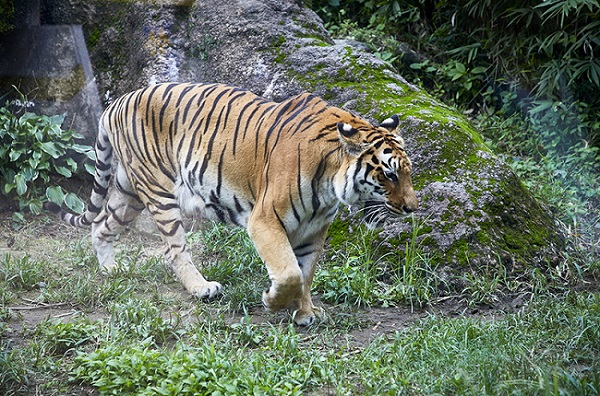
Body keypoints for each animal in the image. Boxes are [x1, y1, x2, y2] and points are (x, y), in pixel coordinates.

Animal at [45, 82, 418, 326]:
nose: (413, 208)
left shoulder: (315, 230)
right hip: (158, 190)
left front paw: (305, 312)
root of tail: (117, 102)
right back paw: (202, 288)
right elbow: (289, 272)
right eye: (389, 175)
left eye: (408, 173)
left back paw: (111, 269)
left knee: (100, 224)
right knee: (173, 250)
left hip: (129, 191)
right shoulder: (265, 220)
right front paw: (272, 301)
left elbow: (306, 273)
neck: (330, 184)